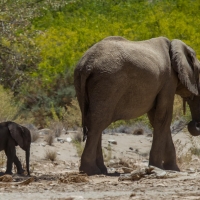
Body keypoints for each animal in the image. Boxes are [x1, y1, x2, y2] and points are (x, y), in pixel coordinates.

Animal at [74, 36, 200, 175]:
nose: (195, 124)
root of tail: (86, 65)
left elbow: (156, 119)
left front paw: (172, 168)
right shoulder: (168, 79)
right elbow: (163, 117)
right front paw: (159, 167)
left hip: (81, 84)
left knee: (95, 122)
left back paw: (101, 170)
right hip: (108, 83)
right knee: (98, 122)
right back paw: (91, 170)